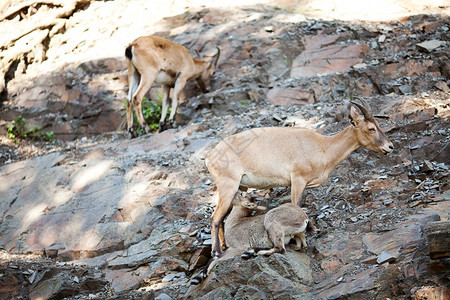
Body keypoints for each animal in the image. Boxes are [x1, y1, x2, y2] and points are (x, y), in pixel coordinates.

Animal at [207, 99, 394, 256]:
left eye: (378, 124)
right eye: (371, 128)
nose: (389, 147)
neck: (322, 147)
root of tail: (210, 156)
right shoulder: (298, 179)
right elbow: (297, 205)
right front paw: (307, 233)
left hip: (240, 187)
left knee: (223, 217)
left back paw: (223, 246)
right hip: (228, 185)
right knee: (215, 218)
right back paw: (216, 251)